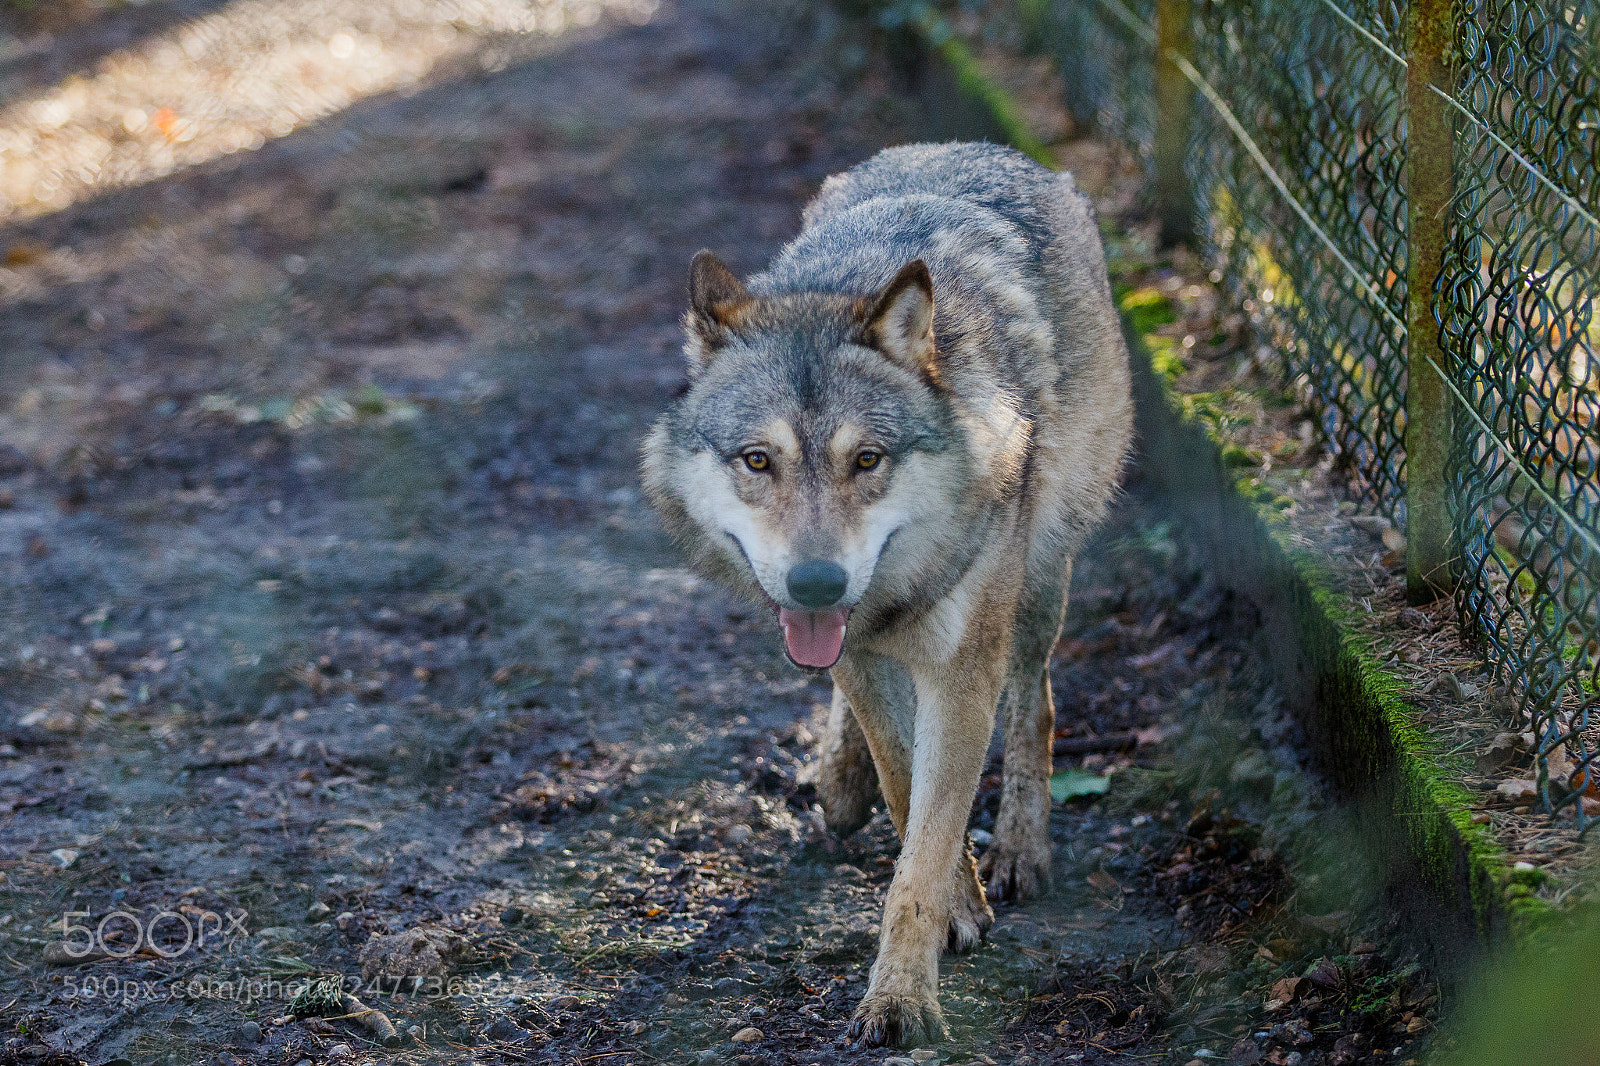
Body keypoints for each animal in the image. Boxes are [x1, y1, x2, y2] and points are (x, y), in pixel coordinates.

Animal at [642, 142, 1132, 1047]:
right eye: (757, 460)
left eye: (866, 459)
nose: (817, 580)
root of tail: (979, 147)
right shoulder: (860, 655)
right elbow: (908, 790)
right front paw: (954, 911)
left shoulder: (963, 672)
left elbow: (929, 840)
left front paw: (904, 997)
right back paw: (840, 782)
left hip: (1038, 583)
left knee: (1038, 705)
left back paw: (1021, 849)